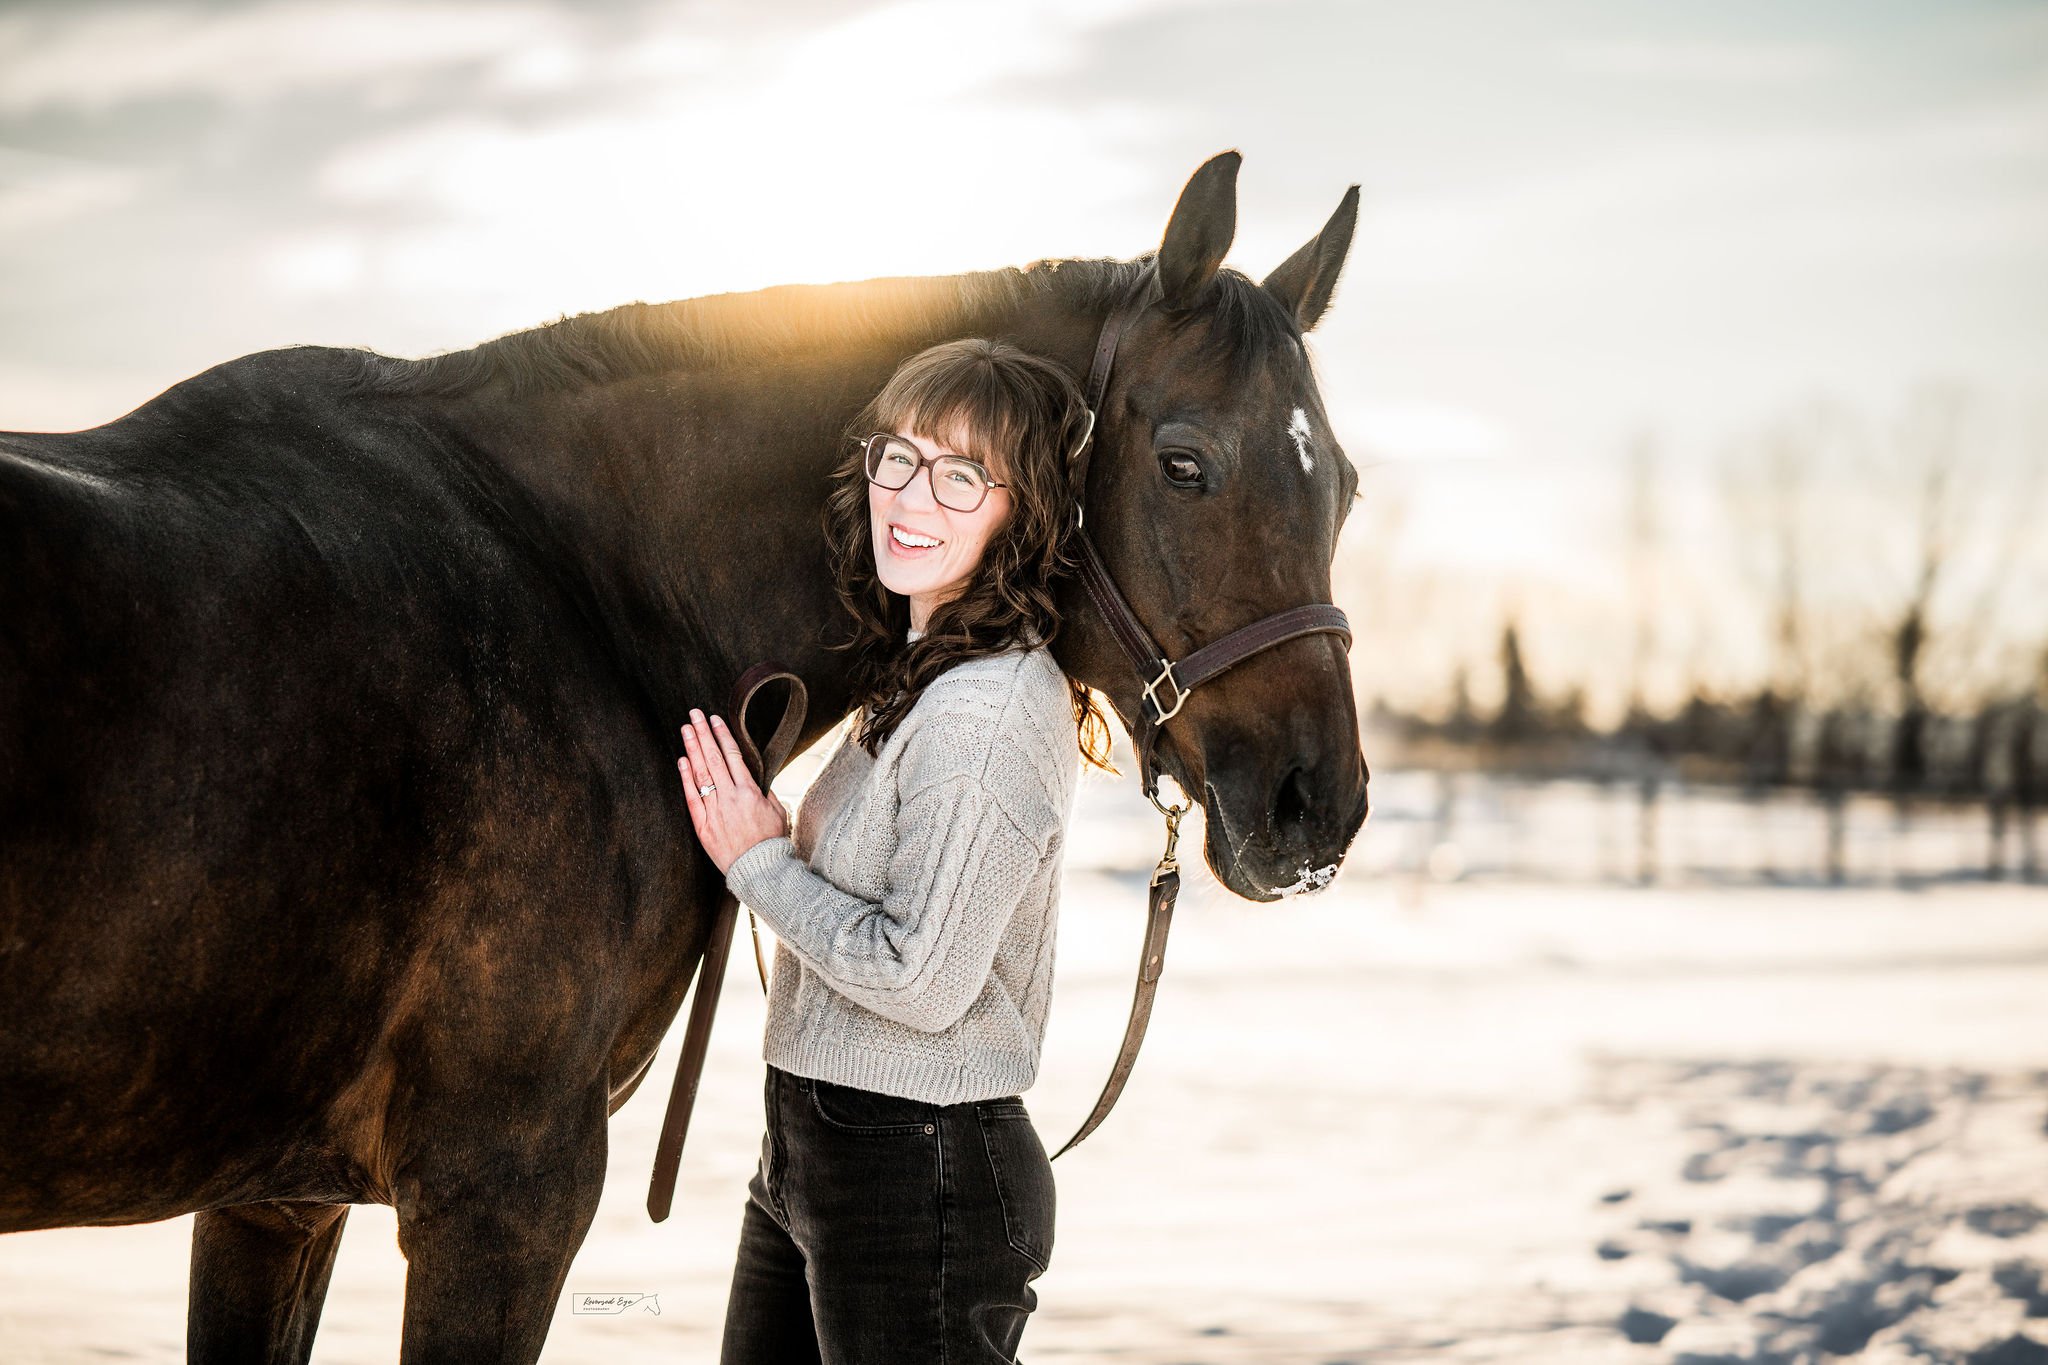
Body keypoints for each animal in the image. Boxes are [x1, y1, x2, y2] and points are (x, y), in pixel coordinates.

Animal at [0, 149, 1369, 1362]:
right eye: (1184, 463)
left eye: (1345, 485)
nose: (1318, 804)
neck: (585, 585)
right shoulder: (502, 1195)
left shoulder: (274, 1201)